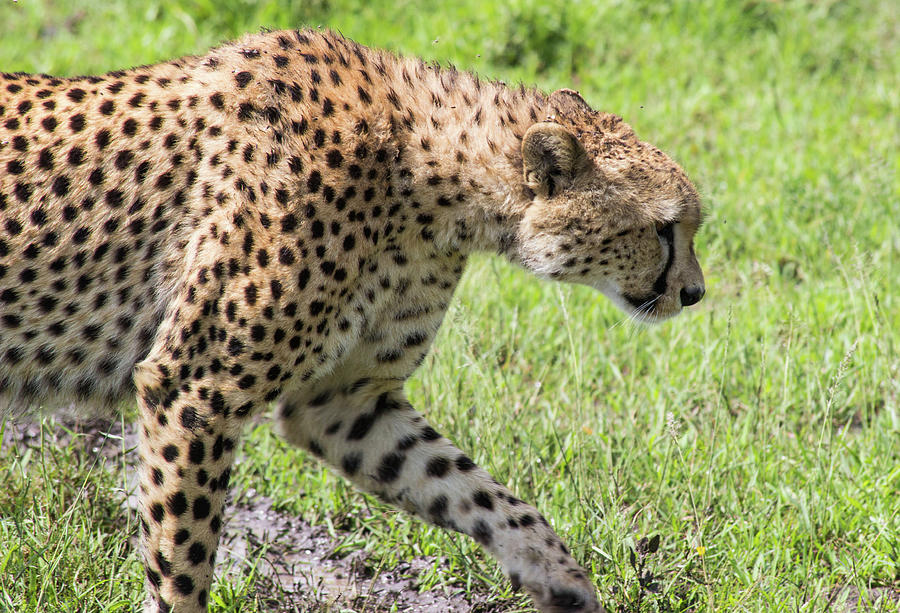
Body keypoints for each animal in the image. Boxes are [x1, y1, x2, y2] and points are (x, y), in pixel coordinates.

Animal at [0, 28, 704, 612]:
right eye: (664, 229)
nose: (695, 293)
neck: (428, 176)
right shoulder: (195, 388)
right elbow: (183, 559)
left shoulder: (343, 400)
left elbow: (468, 487)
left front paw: (557, 575)